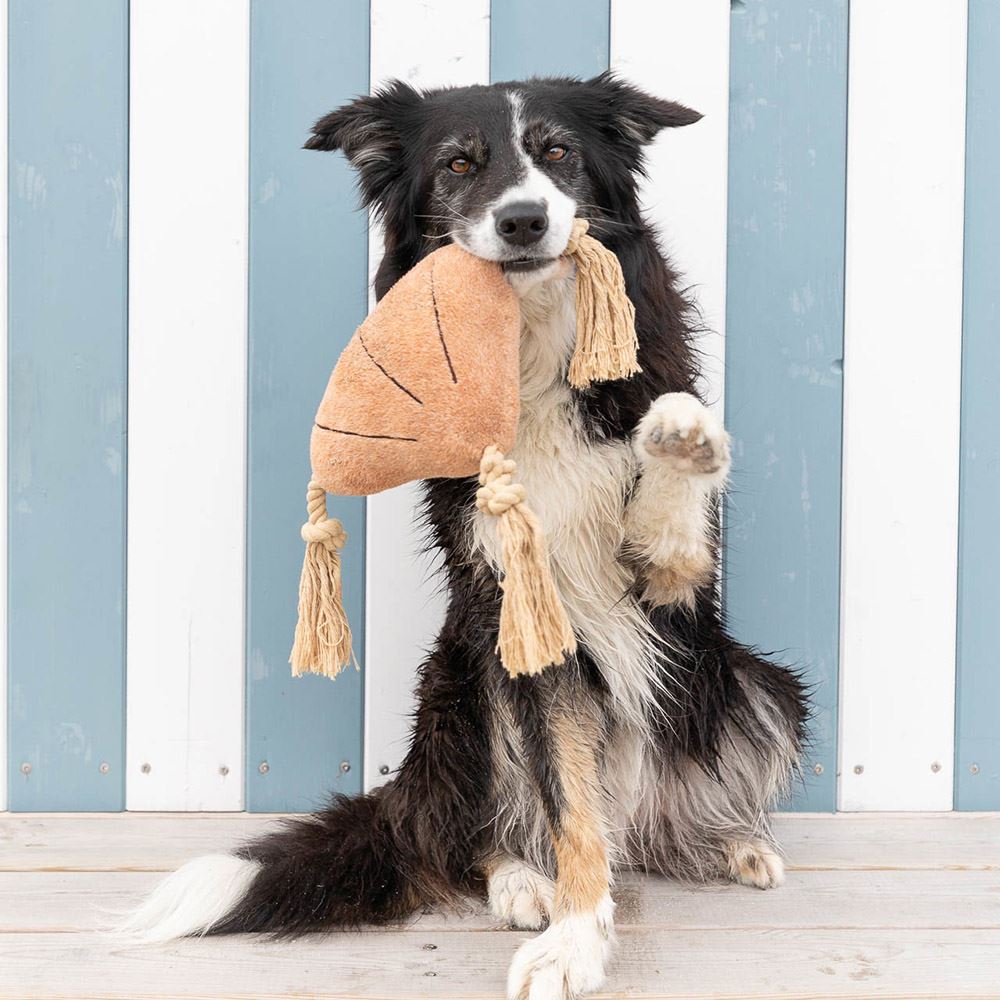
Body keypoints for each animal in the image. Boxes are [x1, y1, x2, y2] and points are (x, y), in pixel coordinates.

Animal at [129, 74, 808, 996]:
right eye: (458, 164)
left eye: (557, 152)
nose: (522, 219)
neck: (526, 342)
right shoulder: (522, 612)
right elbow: (567, 803)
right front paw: (574, 939)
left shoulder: (667, 592)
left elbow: (670, 524)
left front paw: (681, 438)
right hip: (464, 685)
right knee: (474, 830)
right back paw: (522, 879)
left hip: (750, 679)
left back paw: (730, 841)